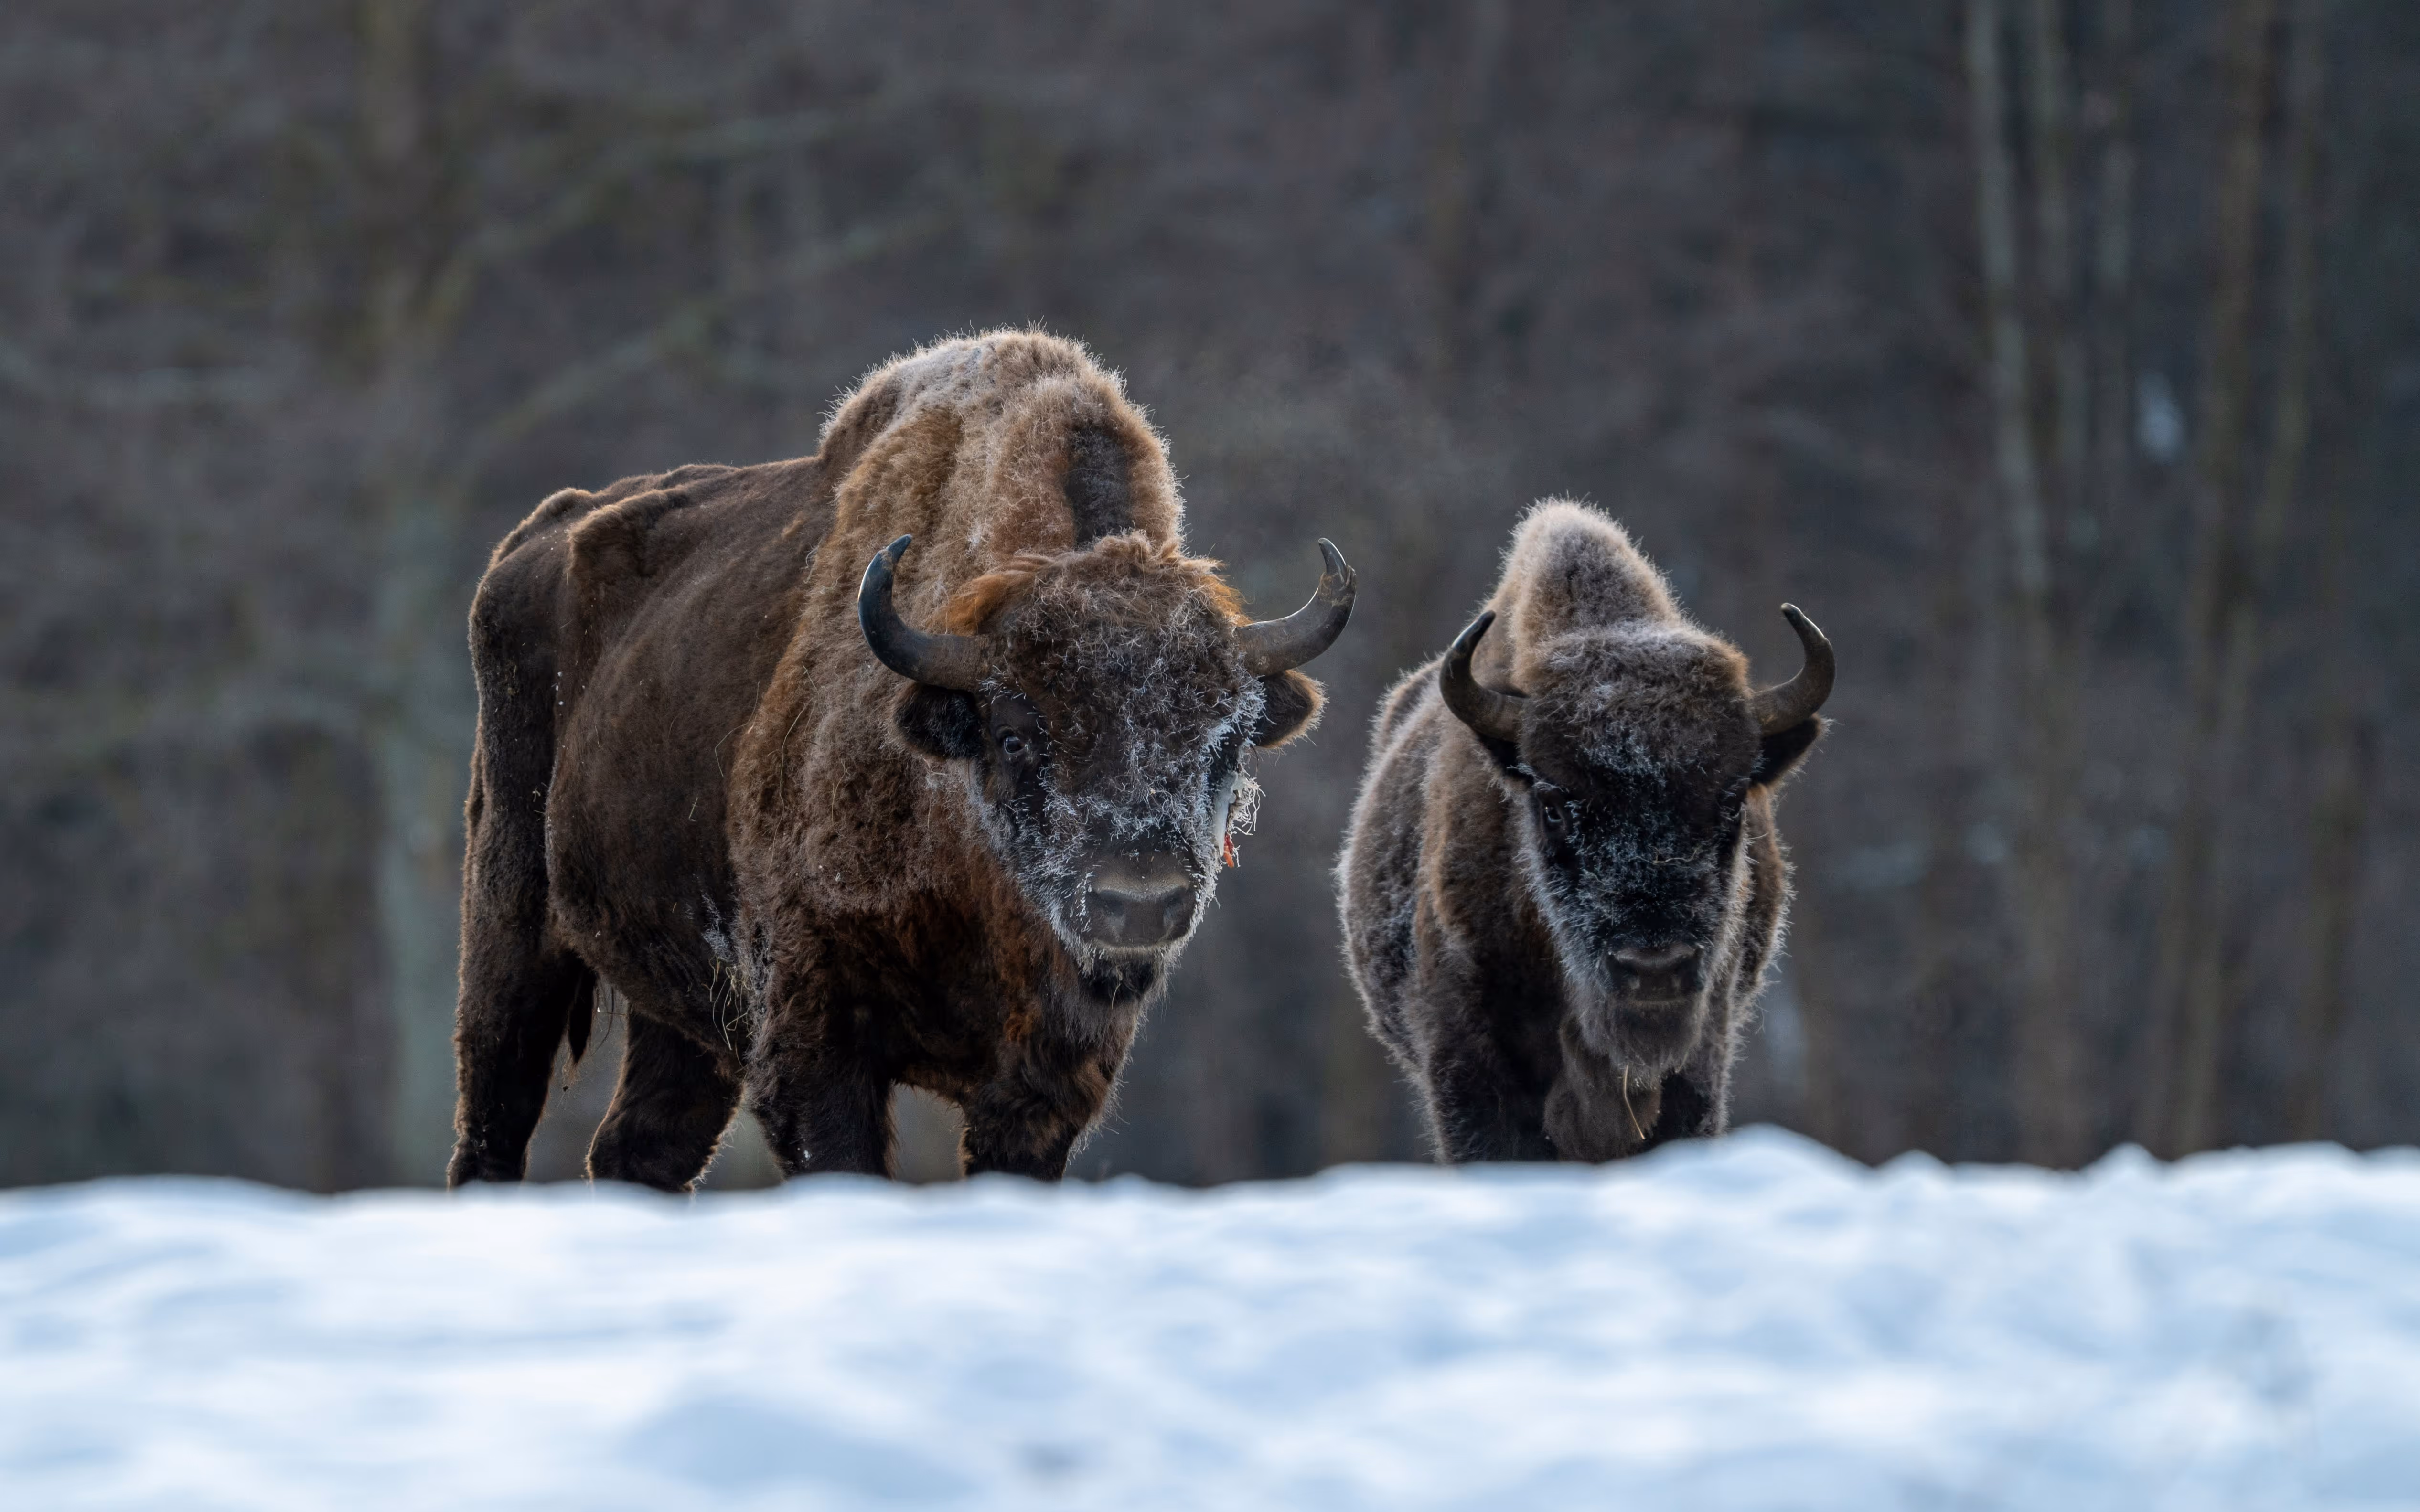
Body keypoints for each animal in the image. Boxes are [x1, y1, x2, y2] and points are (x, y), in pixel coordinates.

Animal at [448, 331, 1353, 1189]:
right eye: (1016, 734)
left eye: (1224, 744)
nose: (1140, 904)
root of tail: (527, 544)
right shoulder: (816, 1038)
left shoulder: (1046, 1081)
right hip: (510, 926)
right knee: (494, 1123)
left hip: (683, 1010)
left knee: (641, 1148)